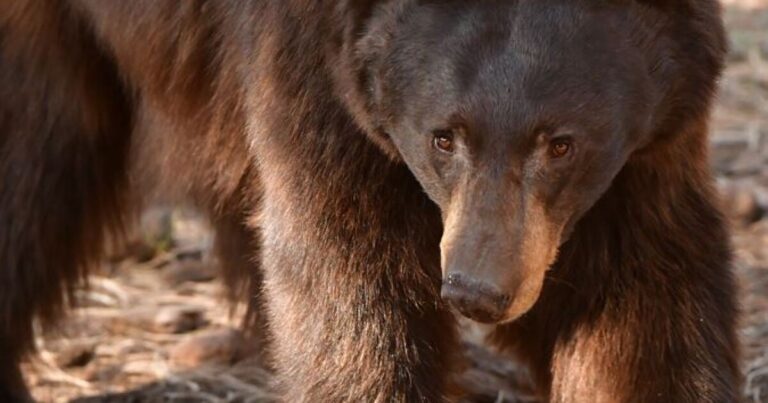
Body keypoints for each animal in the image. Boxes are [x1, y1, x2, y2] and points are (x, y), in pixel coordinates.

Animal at [0, 0, 739, 402]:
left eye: (560, 144)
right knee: (37, 159)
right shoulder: (313, 75)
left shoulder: (647, 149)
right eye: (443, 137)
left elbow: (642, 292)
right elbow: (346, 277)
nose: (475, 291)